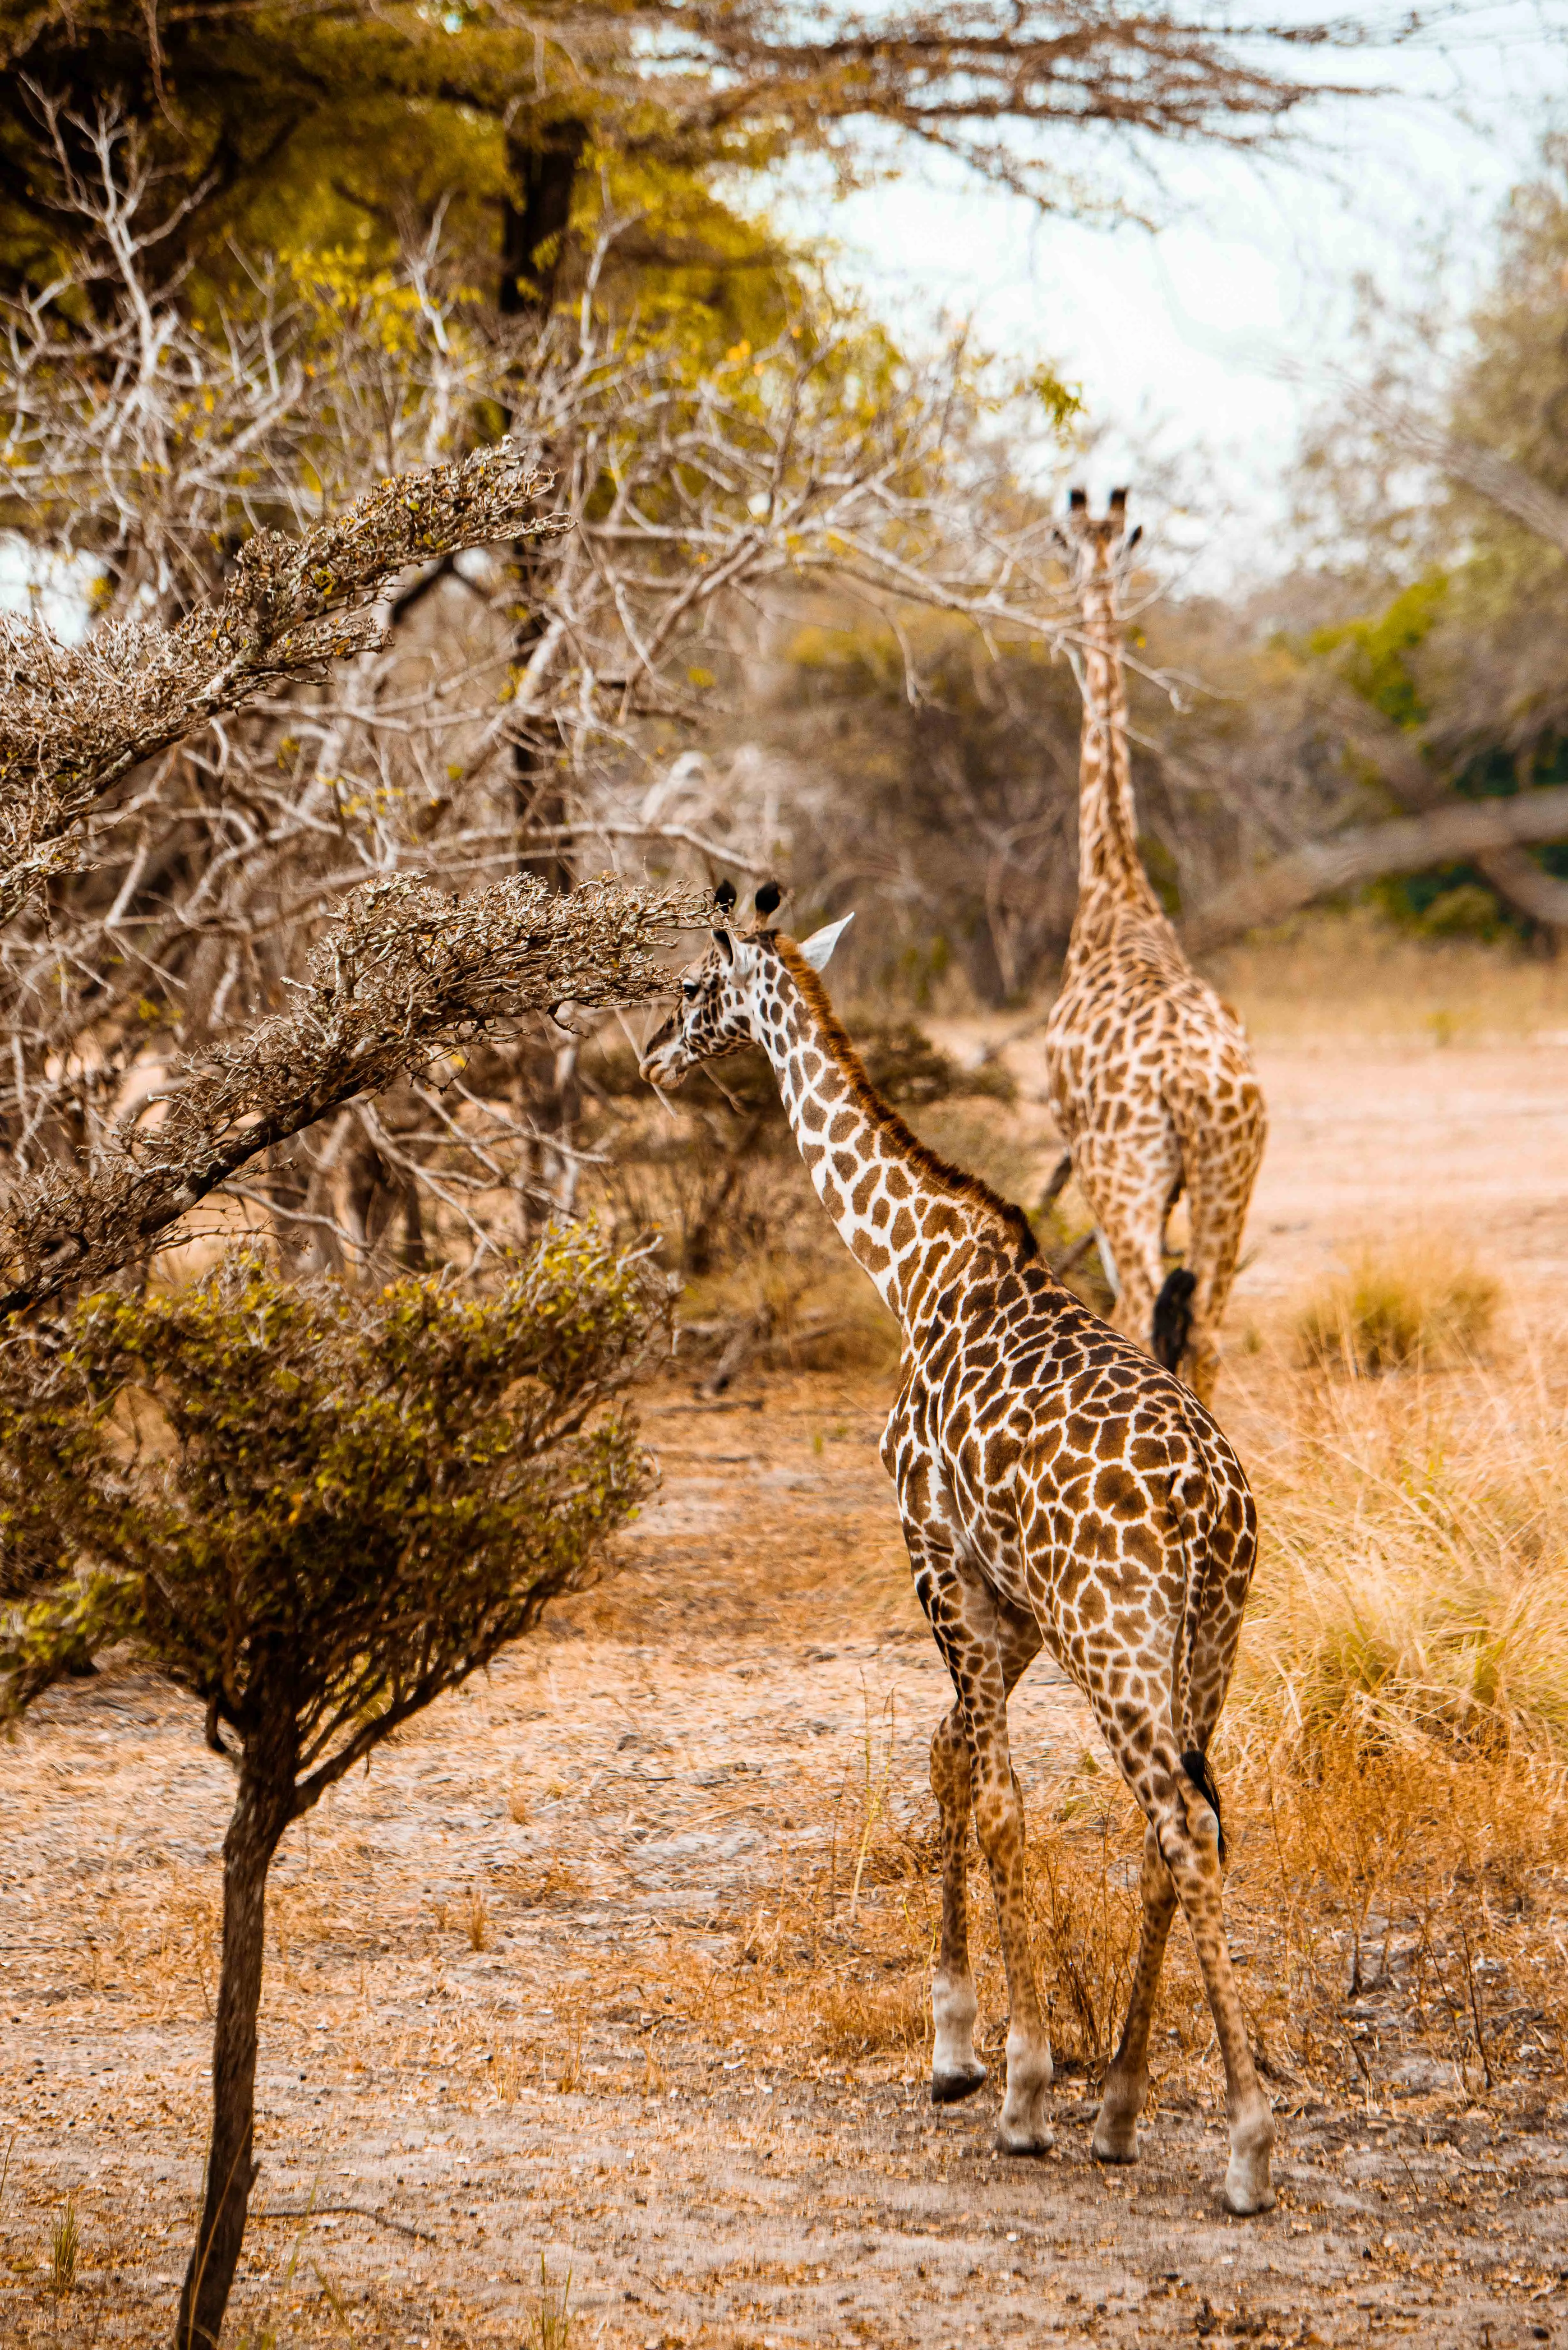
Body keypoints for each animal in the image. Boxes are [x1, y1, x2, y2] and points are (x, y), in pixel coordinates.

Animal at [640, 881, 1276, 2216]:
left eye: (688, 985)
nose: (652, 1056)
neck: (913, 1266)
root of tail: (1210, 1507)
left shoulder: (932, 1551)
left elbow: (994, 1799)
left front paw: (1020, 2087)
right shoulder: (1008, 1596)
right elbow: (953, 1765)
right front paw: (957, 2049)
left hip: (1116, 1638)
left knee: (1181, 1826)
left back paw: (1244, 2145)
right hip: (1208, 1644)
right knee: (1176, 1828)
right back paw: (1121, 2108)